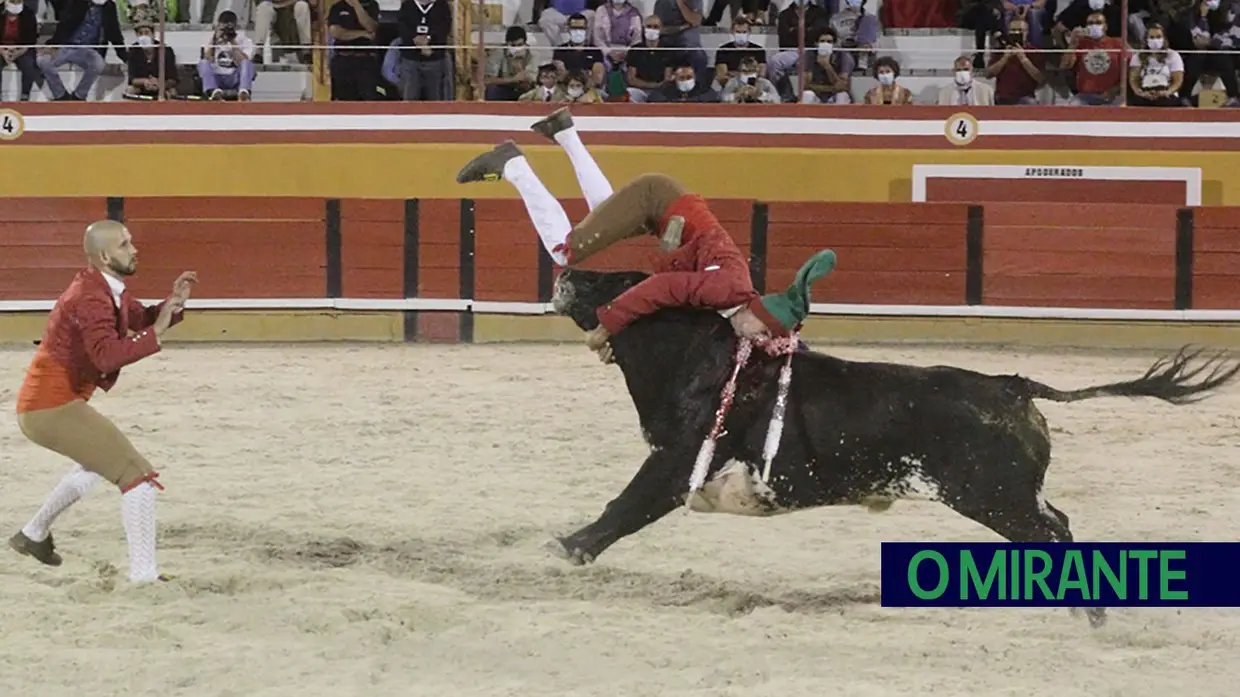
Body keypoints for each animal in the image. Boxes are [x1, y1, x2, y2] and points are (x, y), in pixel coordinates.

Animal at [543, 265, 1240, 625]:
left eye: (610, 281)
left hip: (994, 498)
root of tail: (1007, 383)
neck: (694, 355)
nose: (566, 269)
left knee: (1053, 533)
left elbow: (624, 507)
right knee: (1060, 522)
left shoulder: (675, 462)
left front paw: (564, 549)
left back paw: (1087, 613)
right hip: (1011, 495)